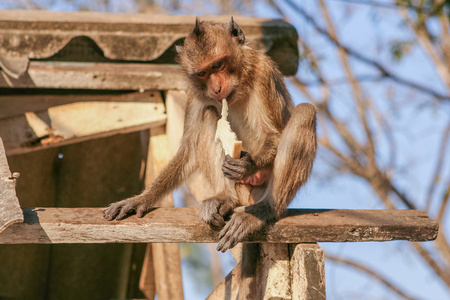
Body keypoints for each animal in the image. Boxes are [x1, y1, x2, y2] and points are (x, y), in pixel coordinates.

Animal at [103, 17, 318, 253]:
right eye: (202, 74)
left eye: (218, 65)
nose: (216, 88)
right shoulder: (195, 90)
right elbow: (188, 149)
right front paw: (142, 199)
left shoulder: (263, 72)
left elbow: (273, 135)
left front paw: (247, 165)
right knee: (208, 114)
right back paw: (226, 198)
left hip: (258, 192)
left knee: (305, 112)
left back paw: (267, 209)